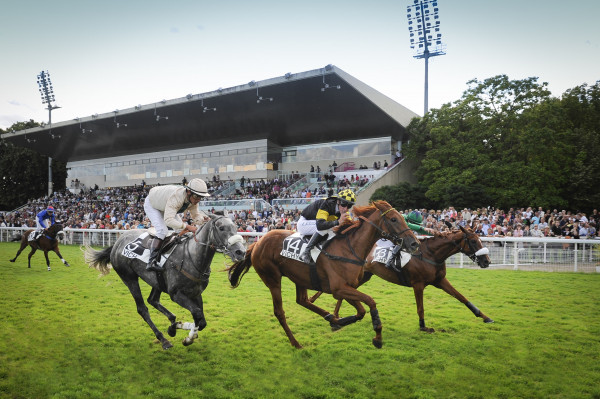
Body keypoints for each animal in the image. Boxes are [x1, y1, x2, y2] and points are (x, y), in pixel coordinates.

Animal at [83, 216, 245, 350]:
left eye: (236, 227)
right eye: (221, 228)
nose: (241, 252)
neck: (192, 258)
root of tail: (117, 242)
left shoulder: (196, 293)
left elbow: (201, 320)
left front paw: (181, 329)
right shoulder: (176, 294)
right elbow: (198, 314)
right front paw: (187, 337)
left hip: (157, 281)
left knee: (153, 300)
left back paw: (173, 324)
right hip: (129, 278)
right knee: (142, 309)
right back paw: (164, 339)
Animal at [227, 202, 420, 348]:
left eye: (404, 218)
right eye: (394, 219)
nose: (414, 243)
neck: (349, 248)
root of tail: (257, 244)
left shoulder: (347, 287)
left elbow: (361, 311)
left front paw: (338, 321)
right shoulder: (339, 288)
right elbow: (370, 302)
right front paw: (378, 337)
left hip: (300, 277)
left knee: (302, 300)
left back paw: (330, 318)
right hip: (272, 279)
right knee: (279, 312)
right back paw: (296, 342)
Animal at [310, 227, 492, 332]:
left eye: (480, 239)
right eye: (474, 241)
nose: (487, 261)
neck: (430, 254)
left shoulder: (440, 281)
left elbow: (462, 297)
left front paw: (484, 316)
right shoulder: (418, 284)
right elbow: (421, 308)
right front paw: (423, 326)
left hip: (364, 277)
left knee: (342, 294)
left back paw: (335, 319)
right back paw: (335, 319)